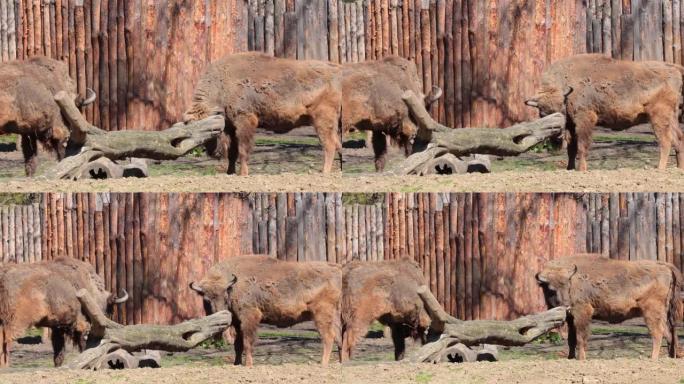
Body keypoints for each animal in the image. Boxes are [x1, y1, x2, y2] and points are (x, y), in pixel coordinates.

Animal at [184, 52, 344, 176]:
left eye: (213, 130)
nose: (213, 153)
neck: (222, 85)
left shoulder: (245, 121)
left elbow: (243, 150)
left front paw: (243, 174)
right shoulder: (232, 127)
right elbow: (233, 153)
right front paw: (230, 172)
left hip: (322, 121)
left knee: (329, 145)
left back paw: (324, 172)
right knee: (337, 143)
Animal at [190, 255, 342, 366]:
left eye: (225, 297)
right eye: (206, 300)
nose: (222, 316)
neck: (233, 285)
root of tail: (336, 269)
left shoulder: (250, 317)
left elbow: (247, 342)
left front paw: (248, 364)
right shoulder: (238, 323)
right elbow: (238, 344)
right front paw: (236, 363)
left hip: (321, 315)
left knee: (328, 337)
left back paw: (323, 363)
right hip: (334, 316)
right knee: (339, 337)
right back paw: (341, 361)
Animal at [524, 53, 684, 171]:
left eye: (561, 110)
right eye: (542, 114)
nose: (556, 135)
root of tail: (674, 69)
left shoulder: (585, 119)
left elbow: (582, 146)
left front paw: (582, 169)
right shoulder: (571, 126)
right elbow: (572, 148)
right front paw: (570, 168)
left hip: (658, 117)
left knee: (666, 141)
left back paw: (660, 168)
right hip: (672, 117)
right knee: (679, 139)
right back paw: (679, 167)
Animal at [536, 255, 680, 360]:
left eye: (568, 286)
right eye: (551, 289)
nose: (566, 306)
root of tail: (664, 266)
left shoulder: (582, 313)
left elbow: (581, 338)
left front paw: (581, 358)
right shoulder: (572, 319)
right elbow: (571, 339)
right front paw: (570, 358)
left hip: (651, 312)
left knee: (657, 333)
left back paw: (653, 358)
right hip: (664, 313)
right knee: (669, 334)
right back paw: (671, 356)